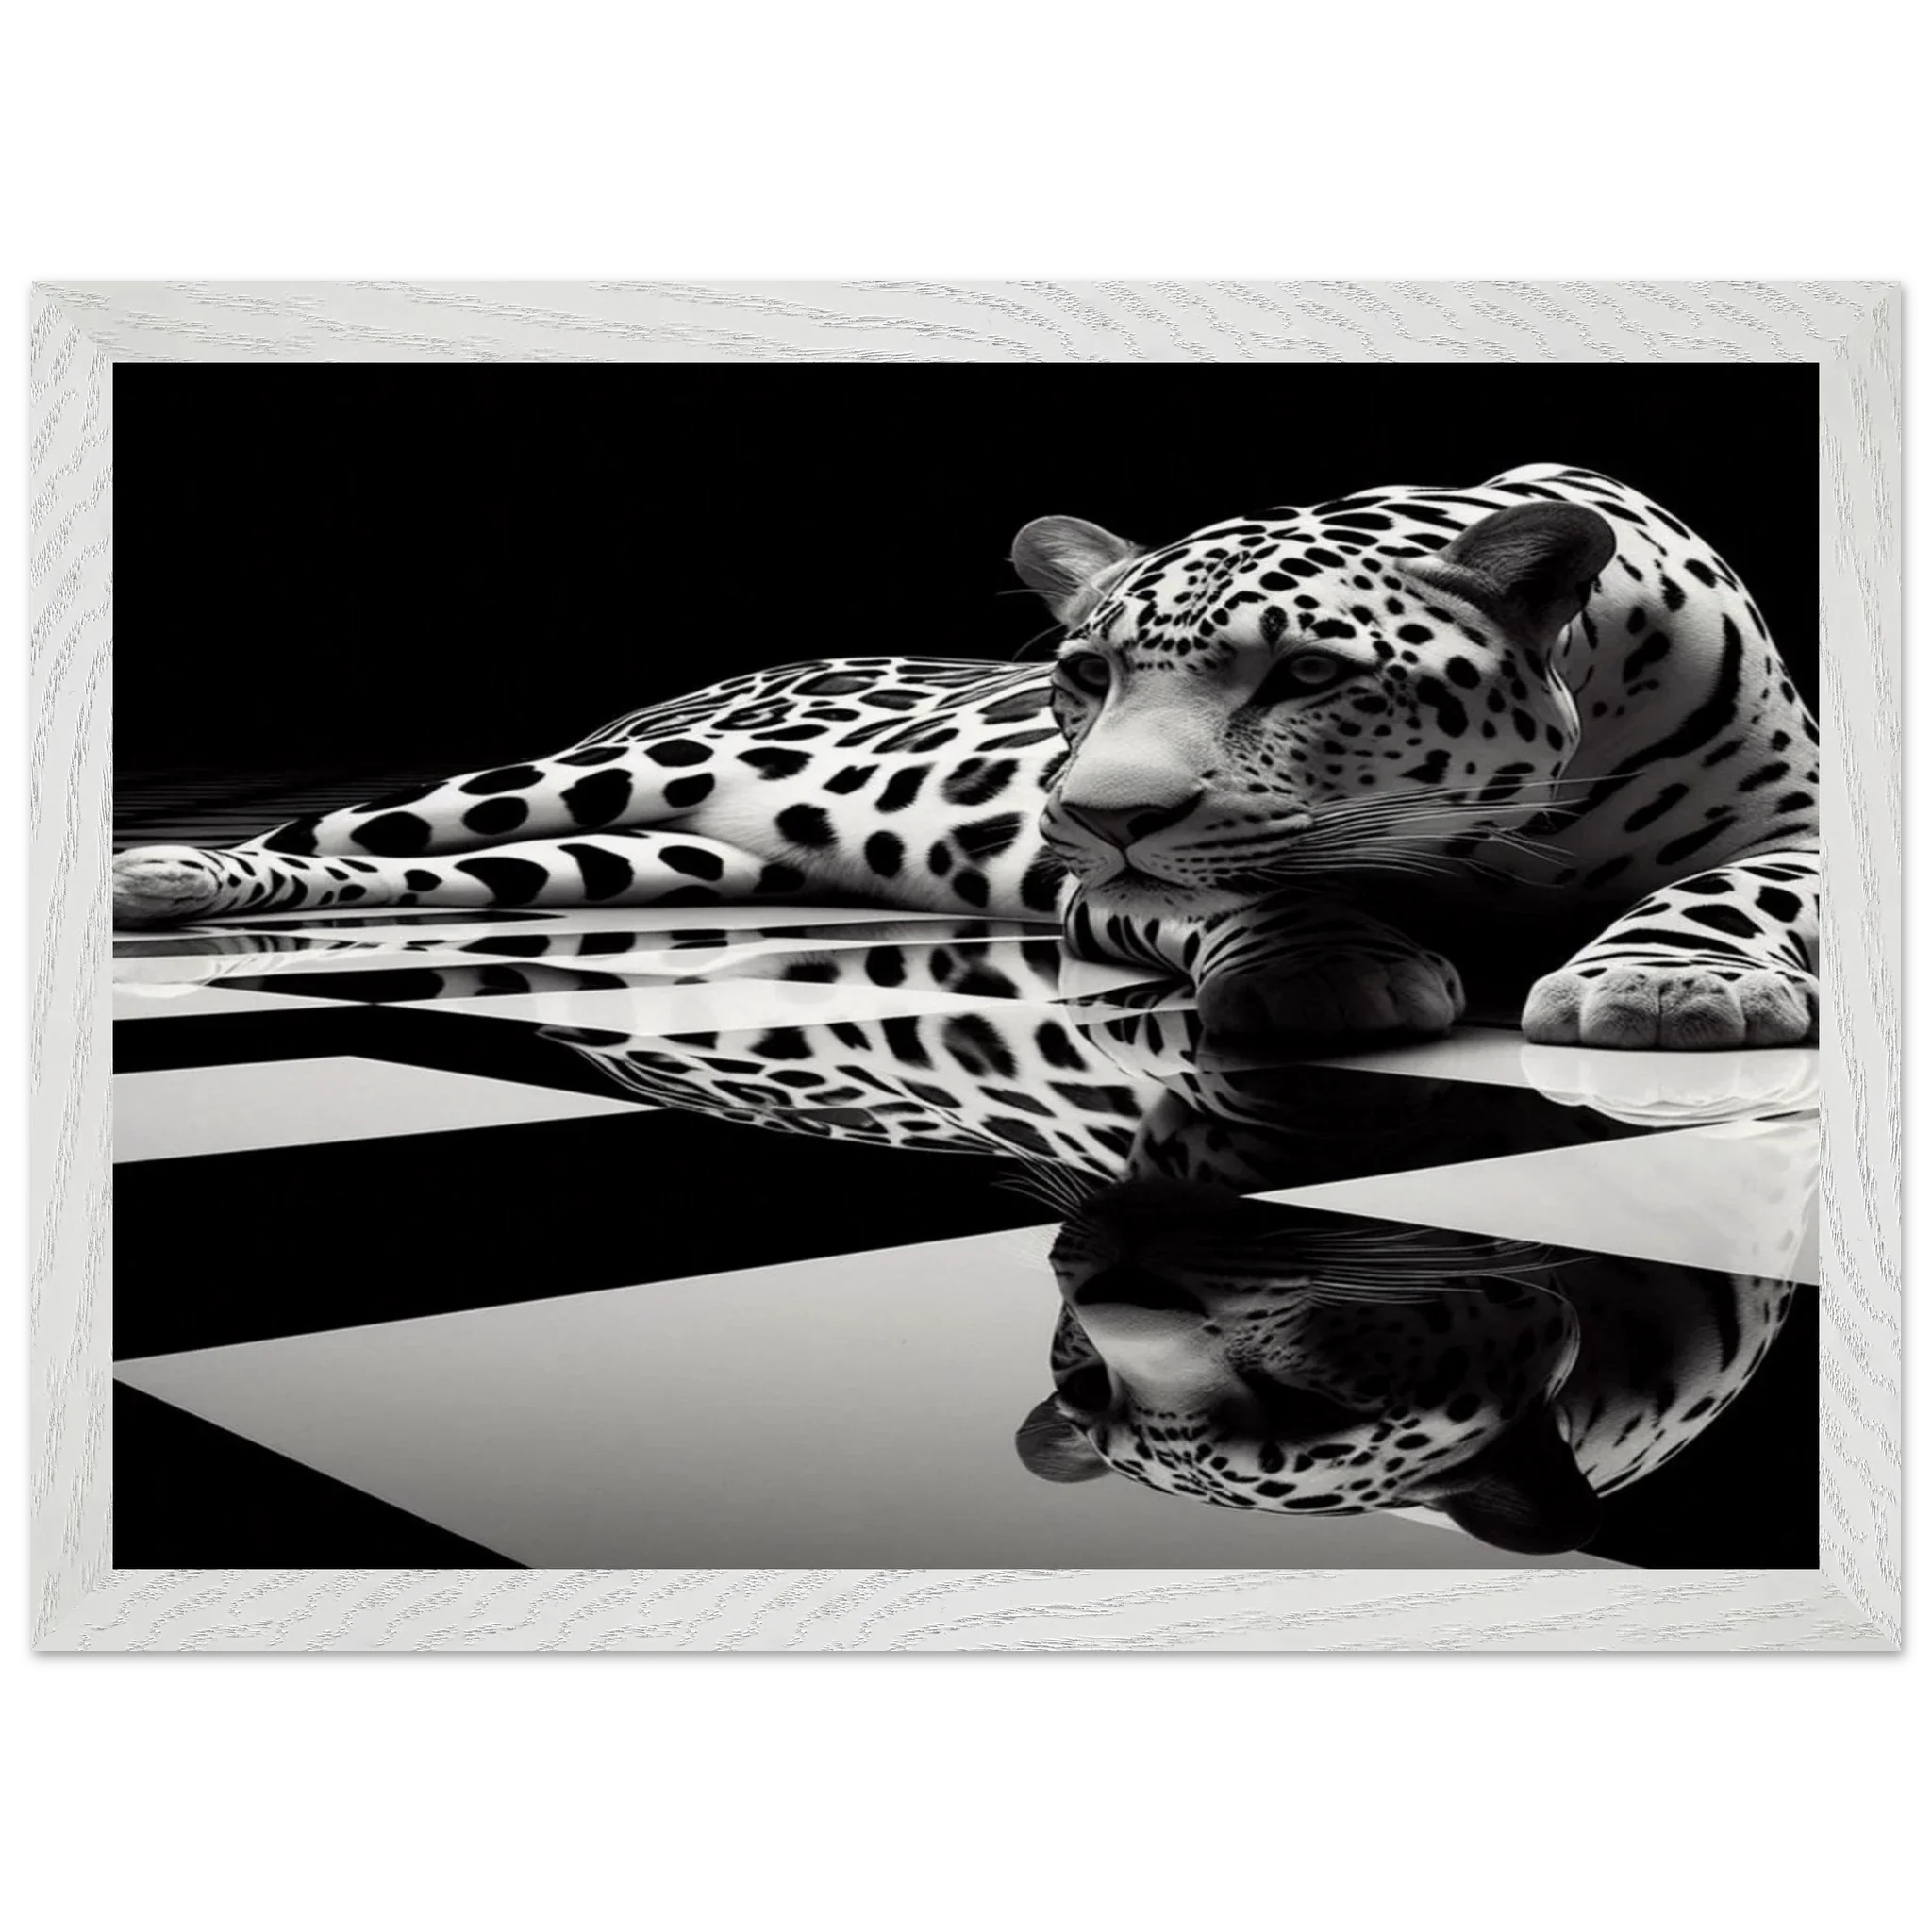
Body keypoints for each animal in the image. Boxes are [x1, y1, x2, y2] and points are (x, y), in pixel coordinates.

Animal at [111, 463, 1821, 1051]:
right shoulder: (1110, 890)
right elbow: (1254, 890)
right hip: (578, 782)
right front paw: (1325, 968)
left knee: (450, 873)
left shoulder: (1804, 828)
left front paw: (1668, 984)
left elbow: (1731, 892)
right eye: (1083, 675)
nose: (1093, 810)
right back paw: (168, 875)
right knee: (350, 826)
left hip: (633, 858)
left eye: (1309, 675)